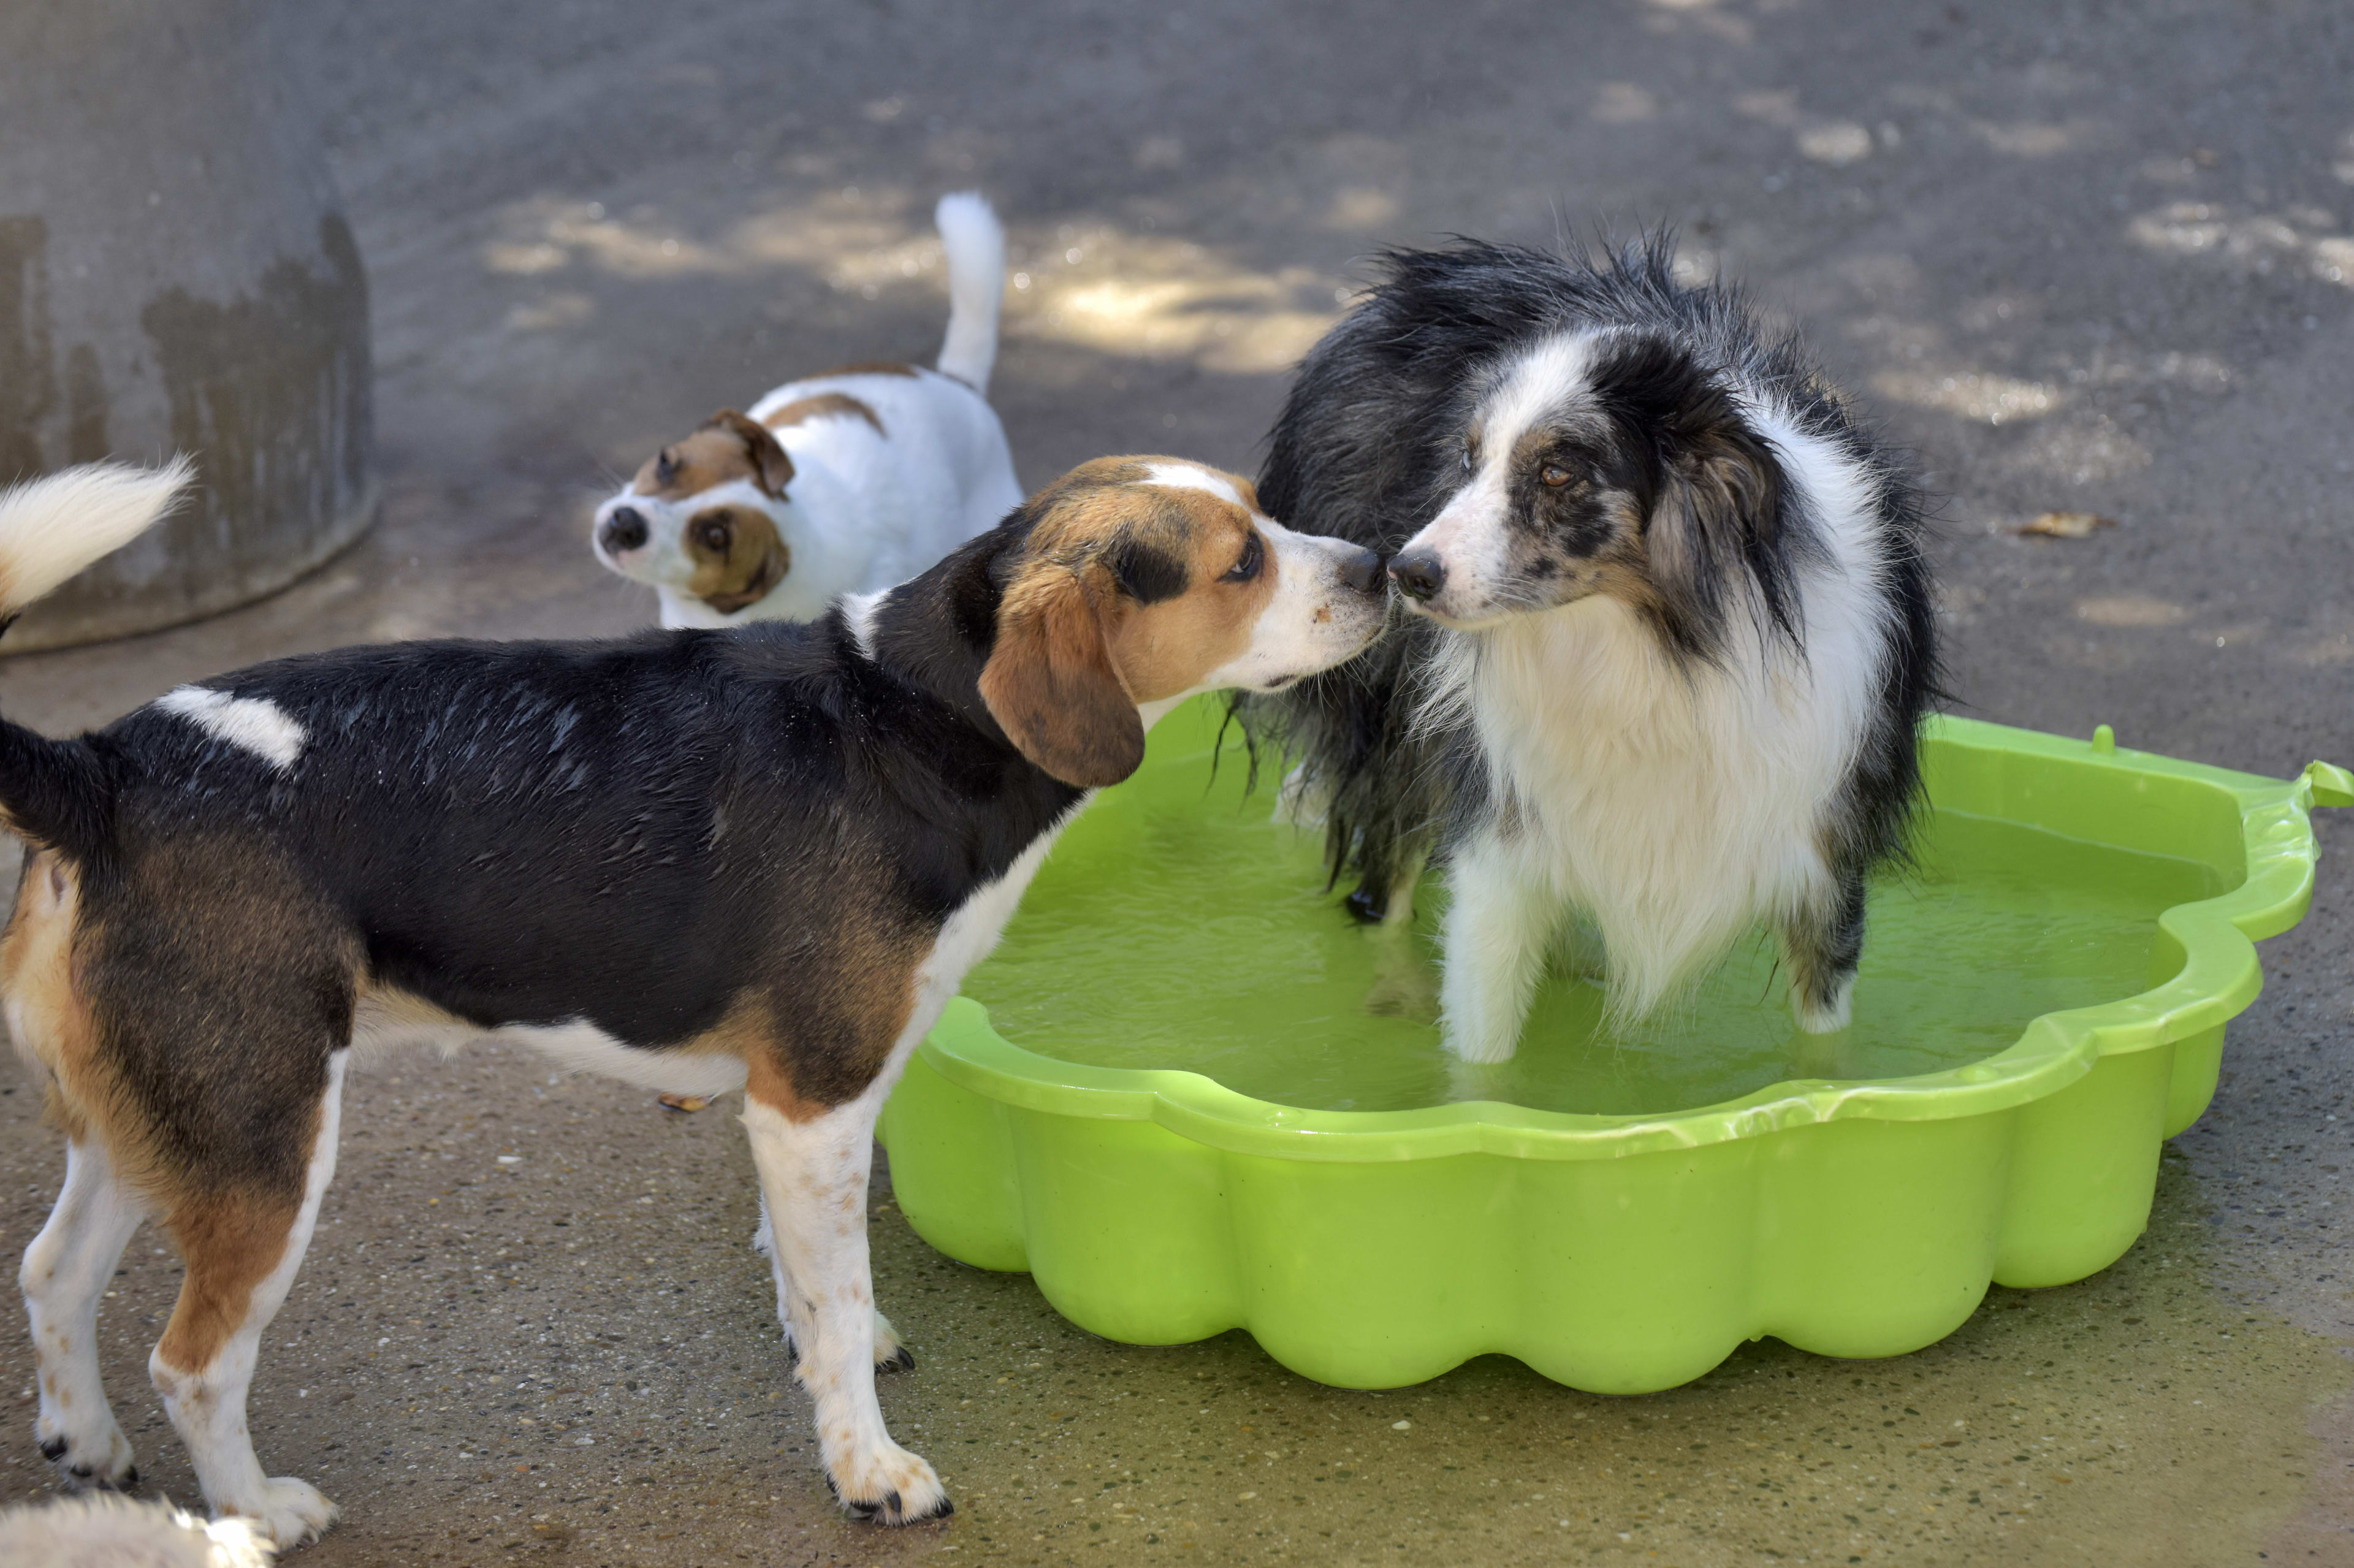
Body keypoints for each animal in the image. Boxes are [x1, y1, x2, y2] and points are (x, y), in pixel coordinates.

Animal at [0, 452, 1384, 1535]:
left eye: (1265, 515)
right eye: (1240, 564)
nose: (1379, 564)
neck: (907, 718)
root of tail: (110, 765)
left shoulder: (794, 1113)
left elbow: (808, 1286)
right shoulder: (816, 1102)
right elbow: (840, 1305)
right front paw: (871, 1471)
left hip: (154, 1123)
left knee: (53, 1271)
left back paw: (89, 1446)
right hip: (263, 1141)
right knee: (190, 1362)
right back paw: (253, 1509)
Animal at [1243, 235, 1940, 1064]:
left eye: (1556, 470)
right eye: (1469, 461)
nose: (1403, 573)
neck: (1647, 655)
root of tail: (1397, 289)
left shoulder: (1825, 858)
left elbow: (1823, 1044)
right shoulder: (1499, 846)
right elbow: (1482, 1066)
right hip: (1391, 737)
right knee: (1381, 887)